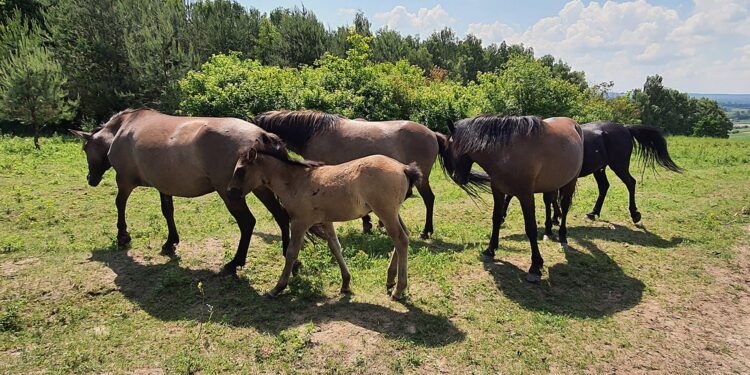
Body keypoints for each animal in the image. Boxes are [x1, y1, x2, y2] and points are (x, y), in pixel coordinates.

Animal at [68, 107, 290, 274]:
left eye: (85, 149)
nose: (90, 179)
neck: (124, 127)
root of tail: (261, 135)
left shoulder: (123, 181)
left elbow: (119, 204)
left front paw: (123, 236)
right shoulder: (163, 185)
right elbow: (167, 211)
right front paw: (170, 242)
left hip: (232, 195)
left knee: (247, 223)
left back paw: (235, 263)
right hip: (261, 188)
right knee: (281, 215)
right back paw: (288, 255)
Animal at [228, 147, 424, 300]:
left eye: (240, 170)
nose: (231, 193)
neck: (296, 182)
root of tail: (403, 167)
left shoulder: (299, 222)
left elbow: (291, 253)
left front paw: (277, 288)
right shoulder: (326, 220)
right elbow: (335, 247)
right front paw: (345, 283)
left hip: (386, 212)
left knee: (400, 240)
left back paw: (398, 290)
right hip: (392, 213)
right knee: (404, 235)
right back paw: (390, 279)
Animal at [256, 110, 450, 239]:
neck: (314, 132)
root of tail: (432, 133)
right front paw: (367, 223)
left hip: (422, 179)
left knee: (429, 199)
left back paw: (426, 231)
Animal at [440, 116, 588, 284]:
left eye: (448, 148)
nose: (459, 178)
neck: (505, 153)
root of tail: (574, 124)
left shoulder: (525, 196)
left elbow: (530, 228)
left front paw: (535, 266)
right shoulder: (498, 192)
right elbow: (496, 219)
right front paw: (490, 251)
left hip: (571, 181)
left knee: (564, 206)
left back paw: (563, 237)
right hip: (551, 184)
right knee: (548, 202)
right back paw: (548, 231)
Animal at [502, 122, 684, 228]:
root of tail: (625, 128)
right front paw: (556, 217)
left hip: (619, 166)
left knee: (630, 183)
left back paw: (635, 215)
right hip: (600, 169)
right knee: (604, 187)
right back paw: (593, 213)